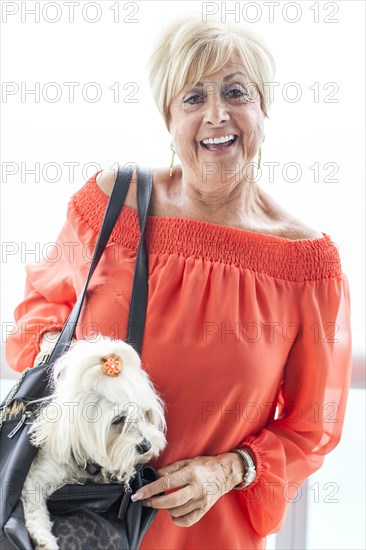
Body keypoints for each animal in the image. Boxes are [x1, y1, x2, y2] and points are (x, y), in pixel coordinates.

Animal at [21, 336, 167, 550]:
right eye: (118, 420)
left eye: (145, 413)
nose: (146, 446)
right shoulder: (38, 477)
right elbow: (33, 507)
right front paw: (44, 539)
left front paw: (119, 472)